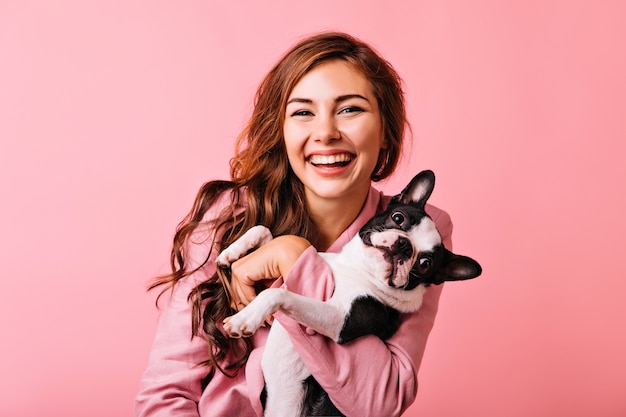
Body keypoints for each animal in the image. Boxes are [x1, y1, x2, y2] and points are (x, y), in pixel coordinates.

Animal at [217, 170, 480, 416]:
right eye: (398, 218)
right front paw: (231, 252)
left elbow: (278, 295)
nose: (404, 246)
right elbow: (268, 231)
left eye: (425, 264)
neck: (358, 269)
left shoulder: (341, 321)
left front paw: (245, 318)